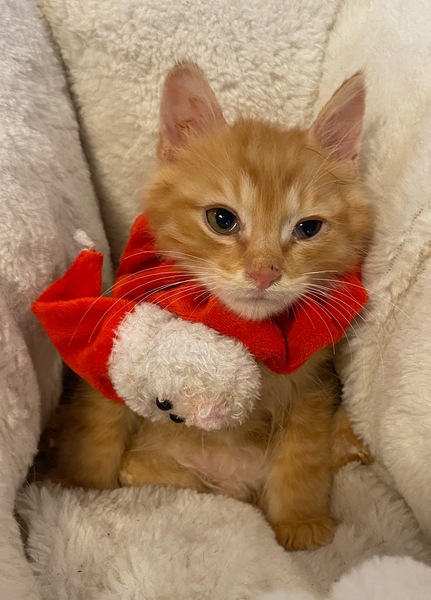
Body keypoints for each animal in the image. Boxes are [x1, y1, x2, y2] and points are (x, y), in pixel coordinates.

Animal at [55, 63, 372, 551]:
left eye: (308, 228)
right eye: (222, 220)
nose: (264, 273)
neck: (244, 333)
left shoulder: (315, 386)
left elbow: (302, 457)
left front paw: (300, 520)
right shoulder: (109, 351)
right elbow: (98, 433)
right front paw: (82, 489)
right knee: (137, 467)